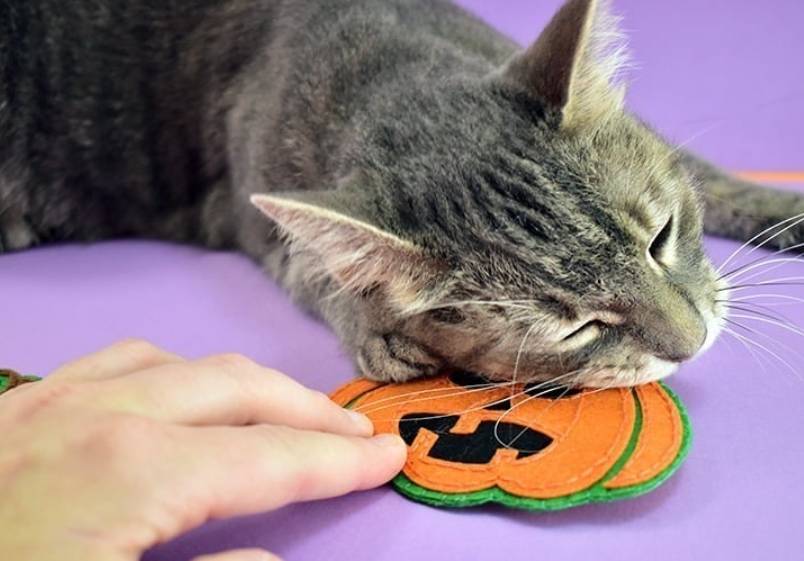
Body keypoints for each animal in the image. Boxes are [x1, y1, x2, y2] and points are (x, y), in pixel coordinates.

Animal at [1, 0, 804, 384]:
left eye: (662, 236)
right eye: (577, 329)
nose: (694, 344)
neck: (388, 70)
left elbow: (708, 170)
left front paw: (781, 207)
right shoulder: (249, 207)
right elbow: (314, 268)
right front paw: (375, 325)